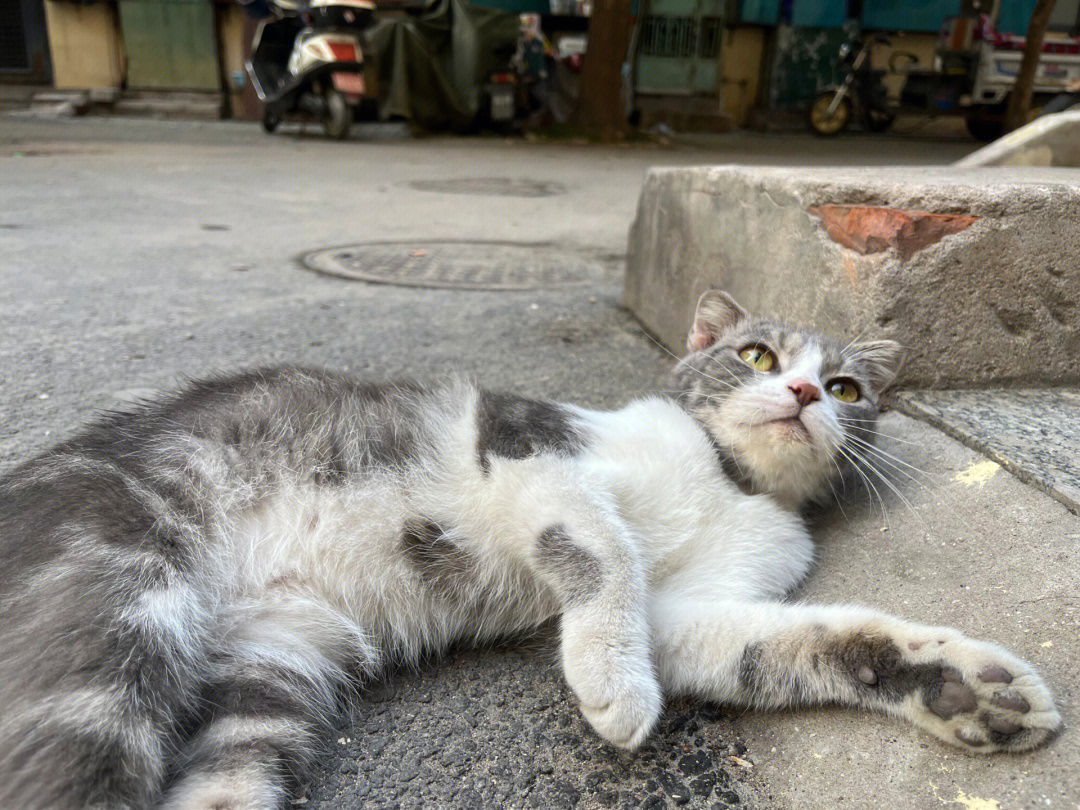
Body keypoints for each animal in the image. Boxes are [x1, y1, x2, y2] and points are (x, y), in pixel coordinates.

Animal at [0, 293, 1062, 810]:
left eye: (846, 387)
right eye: (756, 355)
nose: (803, 394)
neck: (729, 479)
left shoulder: (699, 604)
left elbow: (772, 642)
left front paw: (962, 689)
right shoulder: (525, 444)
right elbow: (605, 545)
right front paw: (614, 682)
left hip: (272, 664)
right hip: (117, 575)